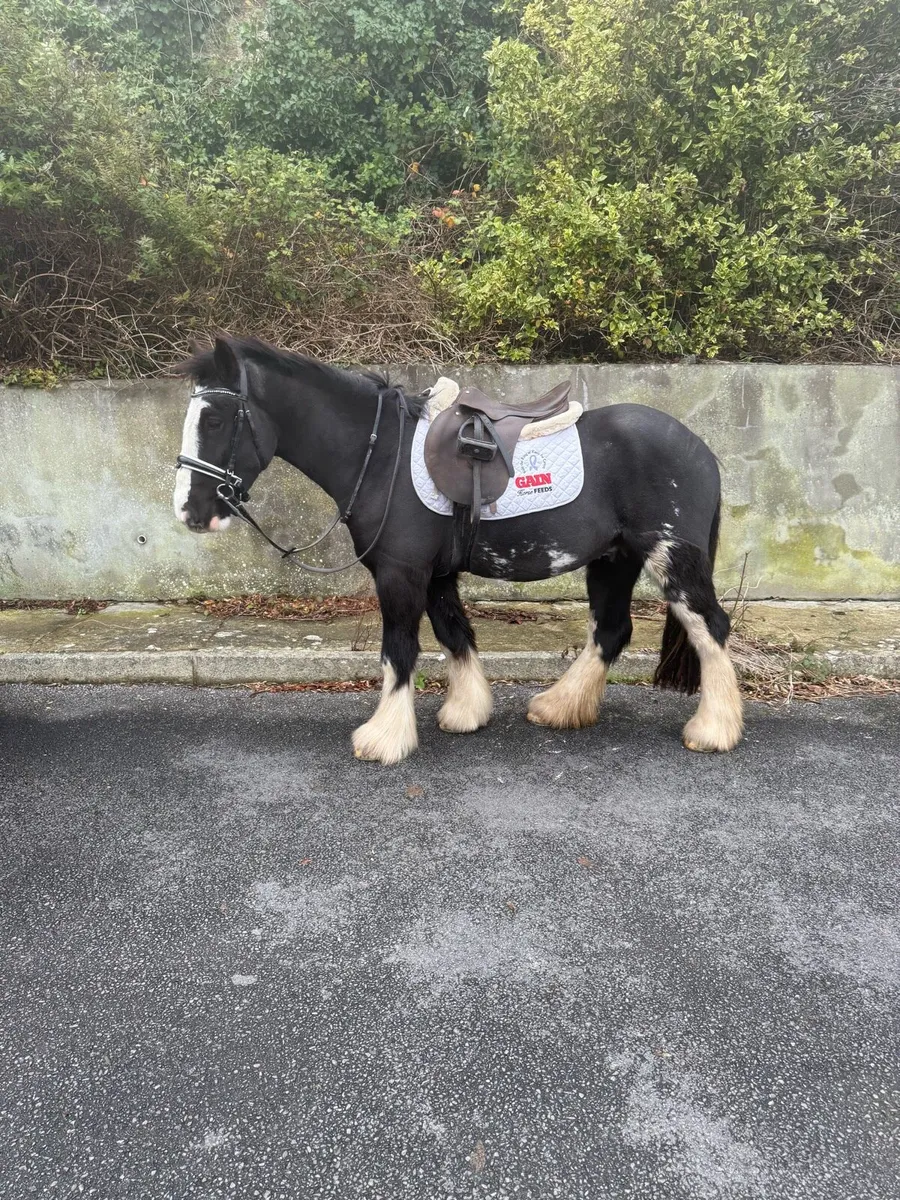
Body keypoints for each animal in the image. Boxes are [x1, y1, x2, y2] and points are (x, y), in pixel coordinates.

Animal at [172, 335, 743, 765]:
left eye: (215, 419)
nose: (188, 511)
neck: (380, 455)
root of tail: (700, 448)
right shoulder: (435, 574)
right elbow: (455, 635)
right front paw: (466, 713)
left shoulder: (400, 572)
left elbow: (399, 650)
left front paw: (384, 739)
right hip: (614, 559)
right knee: (611, 630)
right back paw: (560, 707)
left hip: (671, 557)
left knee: (709, 627)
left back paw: (713, 730)